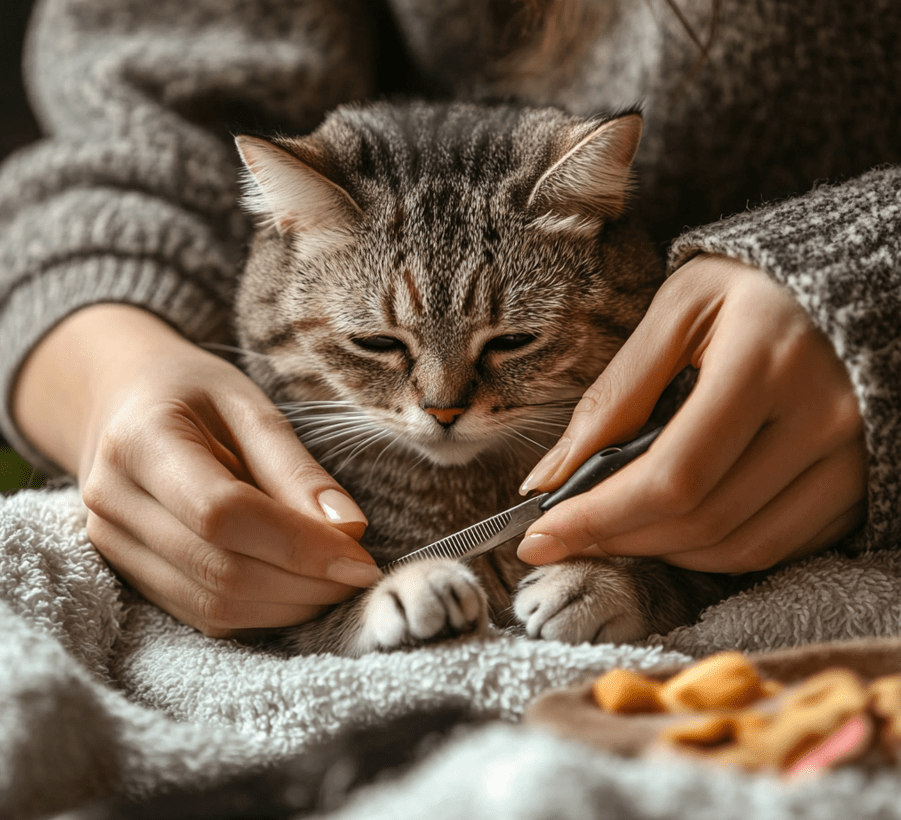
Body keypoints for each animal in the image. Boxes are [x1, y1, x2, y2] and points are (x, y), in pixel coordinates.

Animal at [234, 99, 732, 656]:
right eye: (378, 343)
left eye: (511, 341)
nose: (443, 410)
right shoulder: (289, 619)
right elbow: (337, 606)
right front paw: (409, 585)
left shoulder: (707, 571)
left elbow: (668, 574)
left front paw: (589, 581)